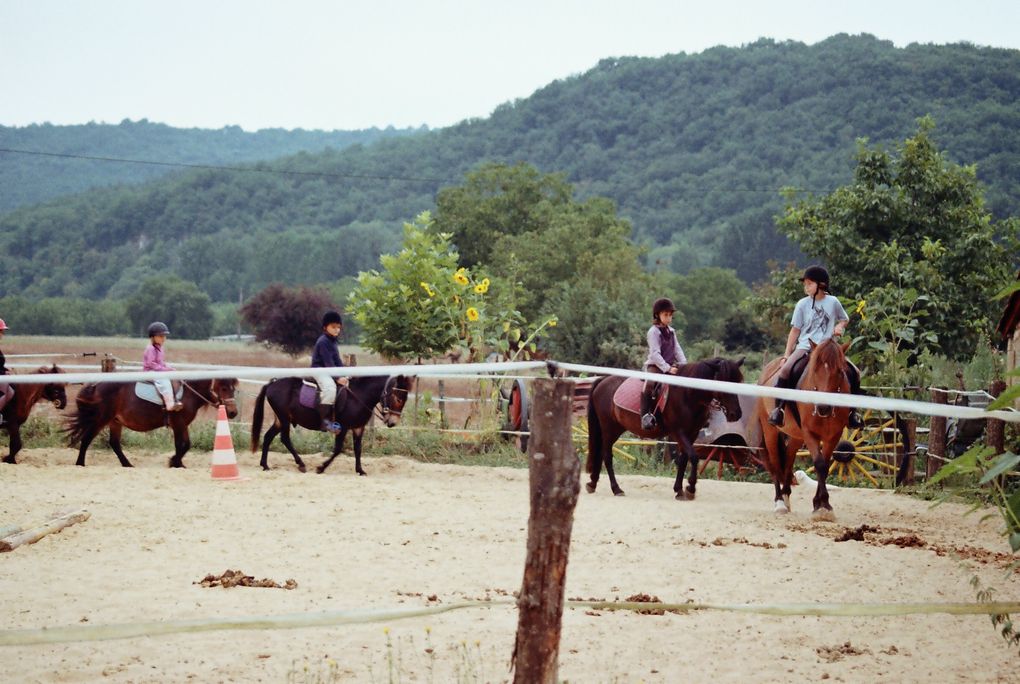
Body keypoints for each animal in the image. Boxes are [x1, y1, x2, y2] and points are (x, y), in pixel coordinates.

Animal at [65, 377, 238, 468]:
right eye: (223, 388)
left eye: (233, 389)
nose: (233, 413)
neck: (189, 393)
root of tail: (96, 385)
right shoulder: (178, 425)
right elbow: (180, 445)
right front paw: (174, 462)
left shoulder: (183, 425)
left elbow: (186, 445)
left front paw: (178, 463)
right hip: (101, 419)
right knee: (87, 439)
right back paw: (80, 463)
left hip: (115, 421)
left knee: (114, 443)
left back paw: (127, 464)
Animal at [249, 375, 410, 477]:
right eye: (398, 398)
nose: (392, 422)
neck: (358, 396)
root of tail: (272, 384)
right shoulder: (343, 427)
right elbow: (338, 449)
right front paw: (321, 468)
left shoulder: (358, 428)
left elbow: (358, 449)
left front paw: (360, 470)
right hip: (284, 419)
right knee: (285, 439)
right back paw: (301, 464)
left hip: (280, 420)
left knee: (268, 437)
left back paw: (265, 465)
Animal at [587, 358, 746, 497]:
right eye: (722, 382)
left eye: (738, 381)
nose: (736, 414)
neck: (687, 395)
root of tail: (603, 380)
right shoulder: (678, 432)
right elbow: (693, 457)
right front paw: (690, 488)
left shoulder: (692, 433)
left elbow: (683, 459)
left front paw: (679, 490)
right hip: (609, 429)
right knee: (607, 456)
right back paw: (616, 489)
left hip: (616, 428)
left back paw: (593, 484)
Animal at [750, 340, 852, 521]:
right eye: (814, 370)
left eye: (840, 371)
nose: (824, 407)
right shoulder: (809, 434)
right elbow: (819, 464)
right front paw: (821, 505)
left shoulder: (833, 435)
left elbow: (825, 466)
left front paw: (822, 505)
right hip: (770, 432)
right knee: (775, 463)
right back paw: (780, 503)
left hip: (796, 436)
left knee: (788, 459)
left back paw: (786, 497)